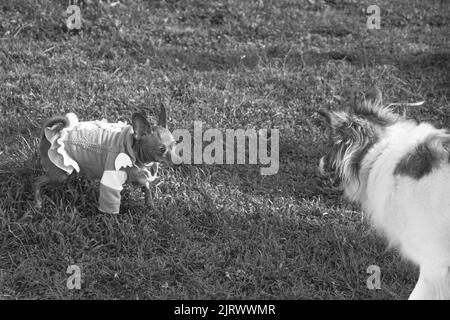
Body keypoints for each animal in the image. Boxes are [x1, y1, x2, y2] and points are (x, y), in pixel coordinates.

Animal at [34, 105, 181, 214]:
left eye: (175, 144)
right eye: (162, 149)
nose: (179, 163)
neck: (133, 150)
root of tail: (54, 132)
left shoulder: (140, 176)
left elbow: (147, 189)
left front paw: (151, 207)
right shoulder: (111, 182)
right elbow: (111, 204)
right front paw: (111, 220)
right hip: (59, 174)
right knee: (37, 181)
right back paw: (38, 202)